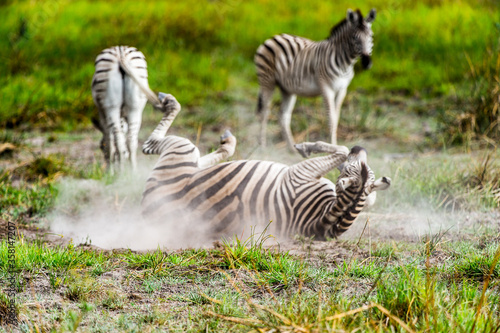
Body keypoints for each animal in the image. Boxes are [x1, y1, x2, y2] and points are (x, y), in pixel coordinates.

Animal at [90, 46, 160, 174]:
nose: (105, 169)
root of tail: (120, 53)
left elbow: (110, 141)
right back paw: (133, 173)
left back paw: (121, 173)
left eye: (101, 147)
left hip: (111, 106)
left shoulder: (103, 115)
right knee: (131, 141)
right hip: (136, 107)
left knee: (119, 141)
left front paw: (111, 172)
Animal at [141, 92, 390, 240]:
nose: (359, 147)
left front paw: (305, 146)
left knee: (149, 145)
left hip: (181, 151)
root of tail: (150, 215)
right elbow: (345, 159)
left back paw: (169, 103)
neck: (318, 221)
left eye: (352, 168)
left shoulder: (299, 173)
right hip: (186, 160)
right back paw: (226, 140)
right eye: (358, 165)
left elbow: (340, 150)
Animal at [256, 8, 376, 152]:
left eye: (371, 36)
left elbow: (336, 118)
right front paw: (334, 148)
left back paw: (292, 149)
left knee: (283, 116)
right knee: (264, 112)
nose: (367, 62)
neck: (345, 64)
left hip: (287, 89)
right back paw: (262, 147)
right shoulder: (326, 87)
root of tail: (273, 37)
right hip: (267, 81)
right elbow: (331, 119)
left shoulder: (342, 89)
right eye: (354, 38)